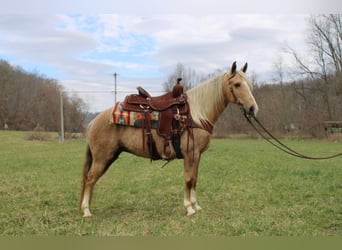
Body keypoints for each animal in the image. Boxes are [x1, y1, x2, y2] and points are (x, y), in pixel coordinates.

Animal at [79, 61, 256, 217]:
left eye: (249, 84)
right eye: (237, 84)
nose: (252, 108)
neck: (196, 115)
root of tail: (93, 121)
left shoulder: (197, 155)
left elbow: (195, 179)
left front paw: (196, 206)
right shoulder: (190, 154)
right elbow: (188, 179)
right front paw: (189, 208)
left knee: (91, 180)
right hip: (102, 158)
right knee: (90, 178)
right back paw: (86, 211)